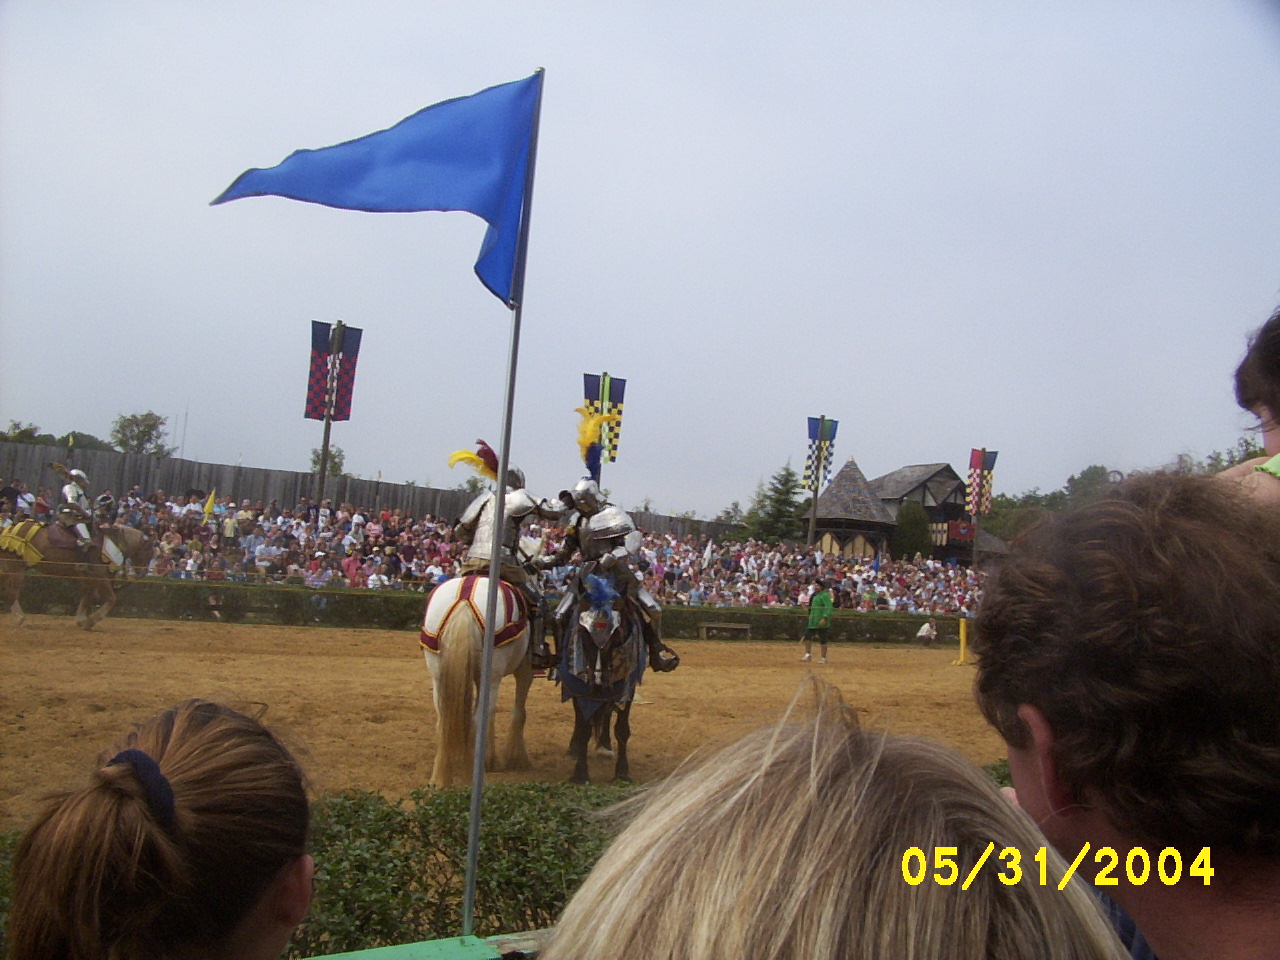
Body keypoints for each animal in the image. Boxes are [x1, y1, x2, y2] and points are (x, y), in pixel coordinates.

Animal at [0, 520, 153, 630]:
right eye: (148, 550)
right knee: (11, 593)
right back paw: (23, 620)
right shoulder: (100, 576)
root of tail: (7, 530)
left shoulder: (90, 579)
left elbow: (86, 597)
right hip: (15, 568)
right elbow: (111, 599)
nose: (143, 572)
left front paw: (81, 620)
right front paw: (90, 621)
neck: (111, 542)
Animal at [420, 571, 536, 788]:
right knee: (476, 721)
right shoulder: (526, 669)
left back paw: (440, 779)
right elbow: (518, 712)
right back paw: (469, 778)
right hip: (493, 673)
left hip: (438, 674)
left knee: (443, 721)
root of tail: (464, 599)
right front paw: (516, 758)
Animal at [559, 572, 648, 785]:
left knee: (606, 712)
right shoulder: (579, 689)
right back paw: (575, 747)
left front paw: (622, 772)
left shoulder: (626, 688)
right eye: (583, 633)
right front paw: (580, 773)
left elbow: (622, 729)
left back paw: (605, 745)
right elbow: (584, 727)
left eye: (617, 634)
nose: (598, 680)